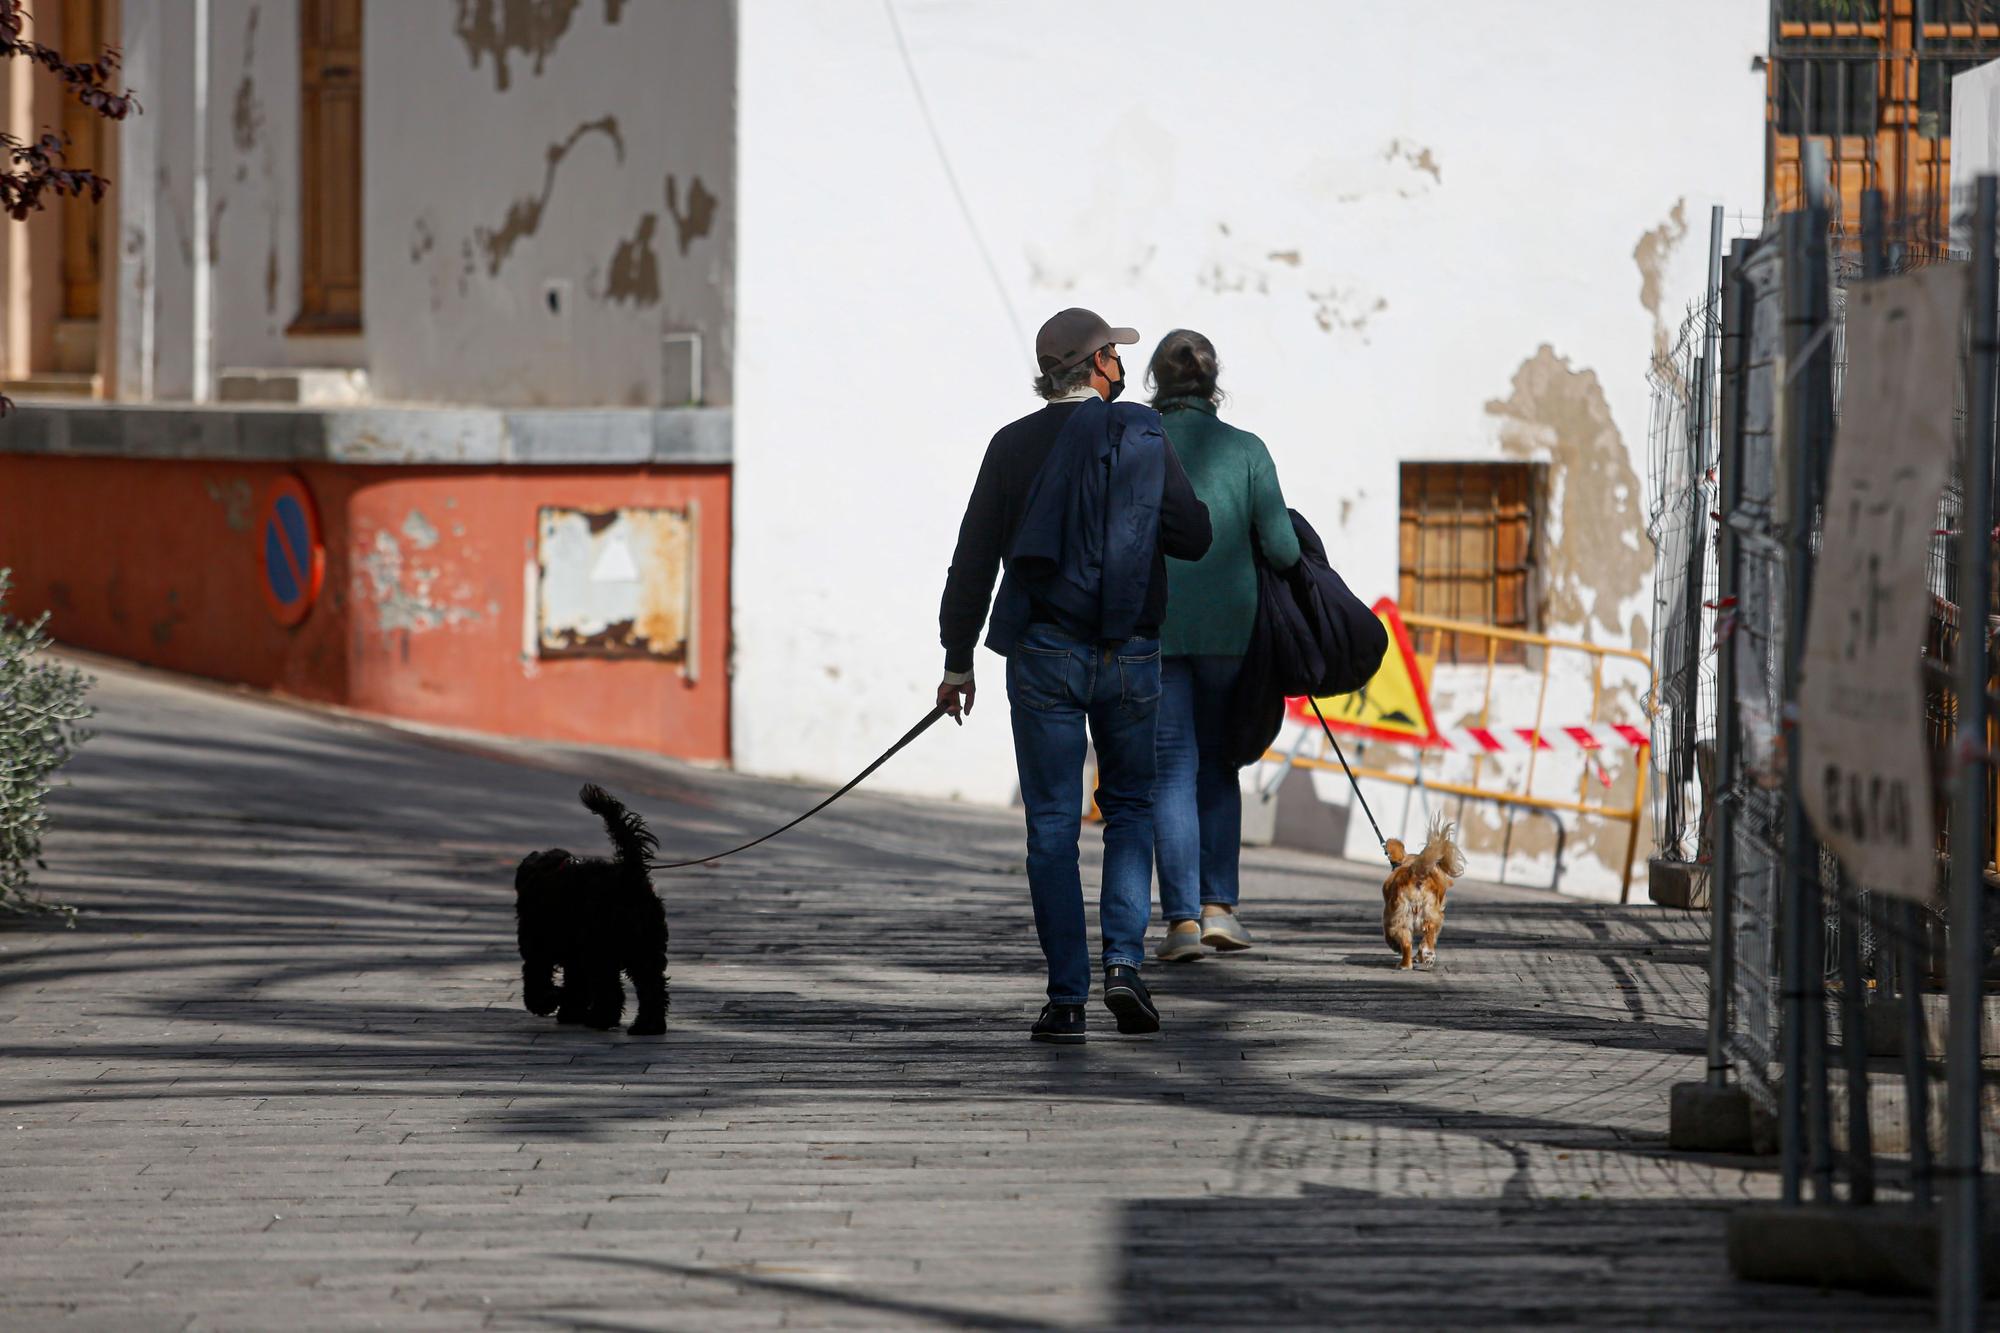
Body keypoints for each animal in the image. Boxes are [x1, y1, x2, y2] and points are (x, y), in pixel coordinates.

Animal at [512, 784, 668, 1032]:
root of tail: (629, 877)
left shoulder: (539, 949)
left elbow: (537, 979)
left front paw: (549, 1002)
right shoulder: (573, 956)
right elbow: (576, 985)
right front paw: (569, 1012)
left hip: (601, 949)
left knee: (611, 989)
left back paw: (601, 1019)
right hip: (645, 949)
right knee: (652, 987)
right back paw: (647, 1026)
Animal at [1376, 808, 1472, 964]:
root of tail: (1415, 875)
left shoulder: (1387, 918)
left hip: (1402, 919)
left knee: (1411, 941)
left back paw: (1408, 961)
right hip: (1425, 916)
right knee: (1424, 936)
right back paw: (1422, 957)